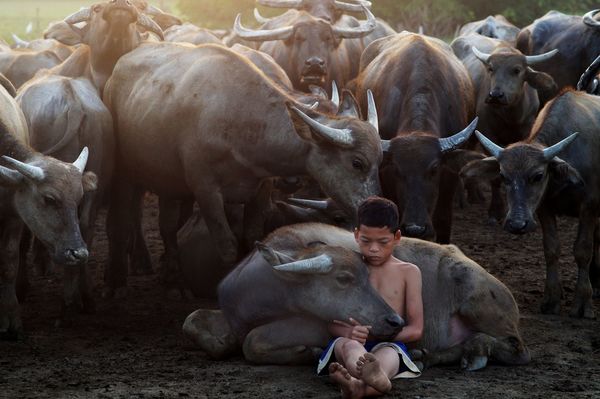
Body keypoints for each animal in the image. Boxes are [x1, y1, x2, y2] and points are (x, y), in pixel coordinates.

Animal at [0, 83, 97, 340]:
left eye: (79, 198)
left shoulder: (13, 217)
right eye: (49, 198)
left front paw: (11, 320)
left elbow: (9, 264)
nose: (79, 254)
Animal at [103, 43, 382, 296]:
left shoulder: (261, 189)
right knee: (123, 220)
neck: (239, 120)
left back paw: (172, 279)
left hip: (168, 181)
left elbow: (250, 239)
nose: (372, 207)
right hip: (125, 174)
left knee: (168, 226)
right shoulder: (206, 191)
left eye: (380, 159)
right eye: (357, 162)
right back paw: (116, 280)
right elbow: (227, 245)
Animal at [184, 222, 528, 372]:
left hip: (477, 300)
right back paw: (428, 355)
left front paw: (306, 352)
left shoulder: (315, 326)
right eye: (344, 279)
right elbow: (192, 321)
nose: (394, 321)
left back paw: (474, 351)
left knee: (516, 348)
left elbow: (252, 341)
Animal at [464, 89, 600, 320]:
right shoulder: (544, 209)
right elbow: (551, 249)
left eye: (538, 175)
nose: (517, 224)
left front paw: (583, 303)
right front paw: (551, 300)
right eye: (503, 175)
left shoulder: (589, 207)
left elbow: (583, 250)